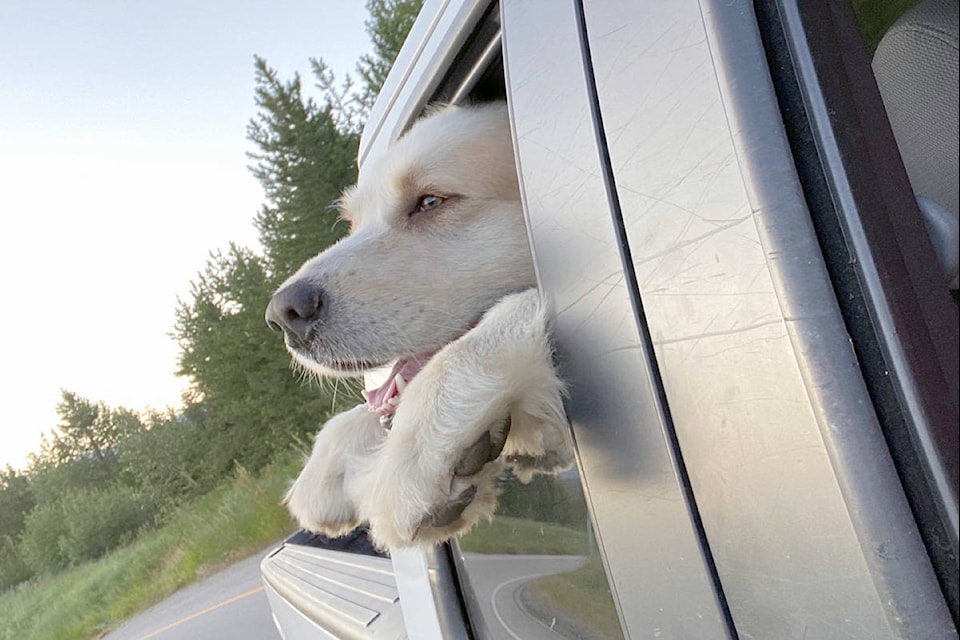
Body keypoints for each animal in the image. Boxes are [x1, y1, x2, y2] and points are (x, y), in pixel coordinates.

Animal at [264, 102, 568, 548]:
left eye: (430, 201)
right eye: (353, 224)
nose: (283, 314)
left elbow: (496, 324)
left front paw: (411, 453)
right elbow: (375, 405)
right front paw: (329, 463)